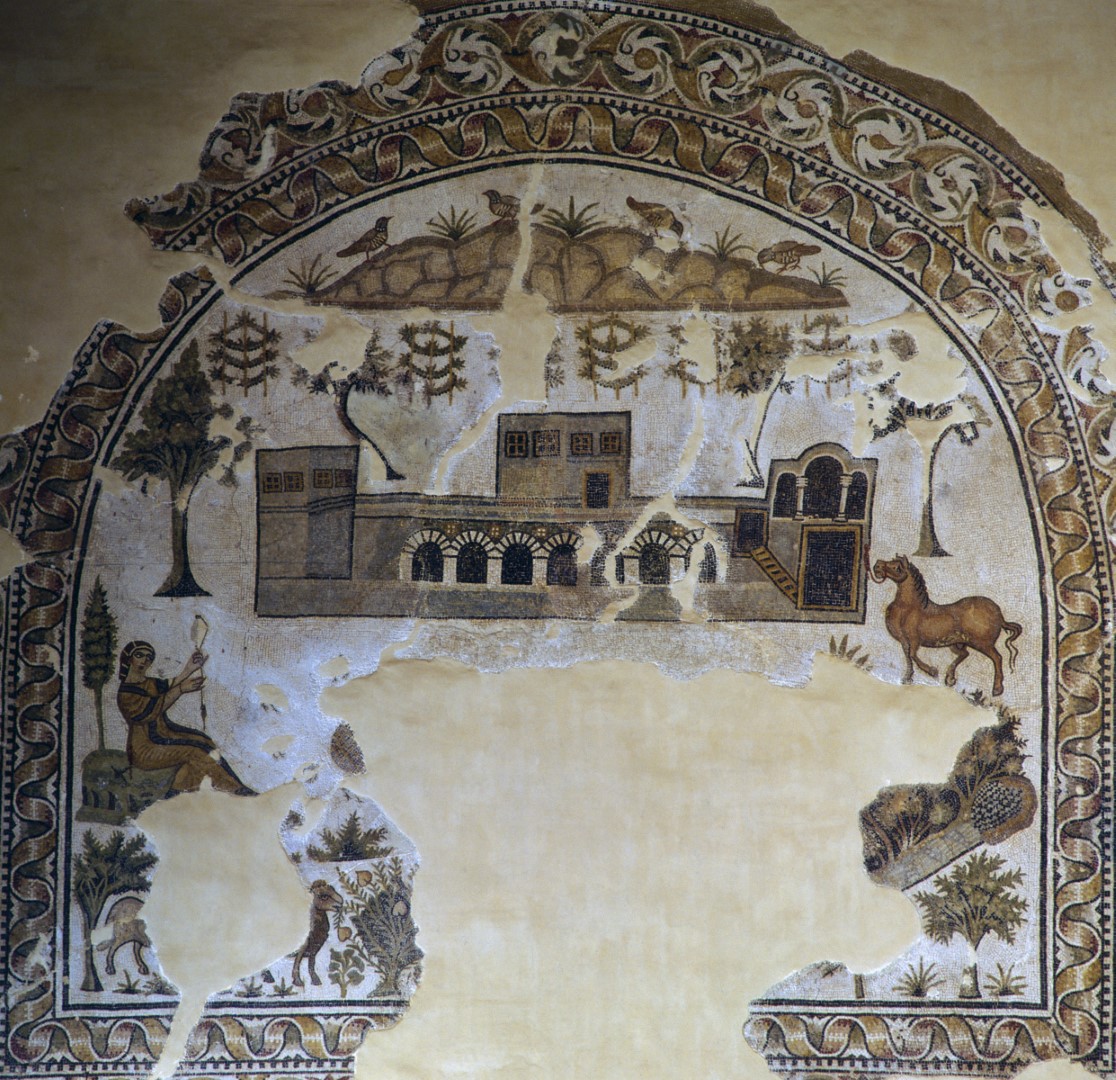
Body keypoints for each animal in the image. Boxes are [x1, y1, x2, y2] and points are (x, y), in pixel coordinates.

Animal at [869, 553, 1021, 696]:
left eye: (897, 567)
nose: (877, 566)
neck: (908, 608)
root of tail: (999, 615)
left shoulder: (914, 639)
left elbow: (912, 655)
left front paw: (932, 671)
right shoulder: (903, 640)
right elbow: (908, 655)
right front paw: (907, 678)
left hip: (982, 643)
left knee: (997, 658)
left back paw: (997, 689)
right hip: (958, 643)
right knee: (965, 654)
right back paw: (950, 678)